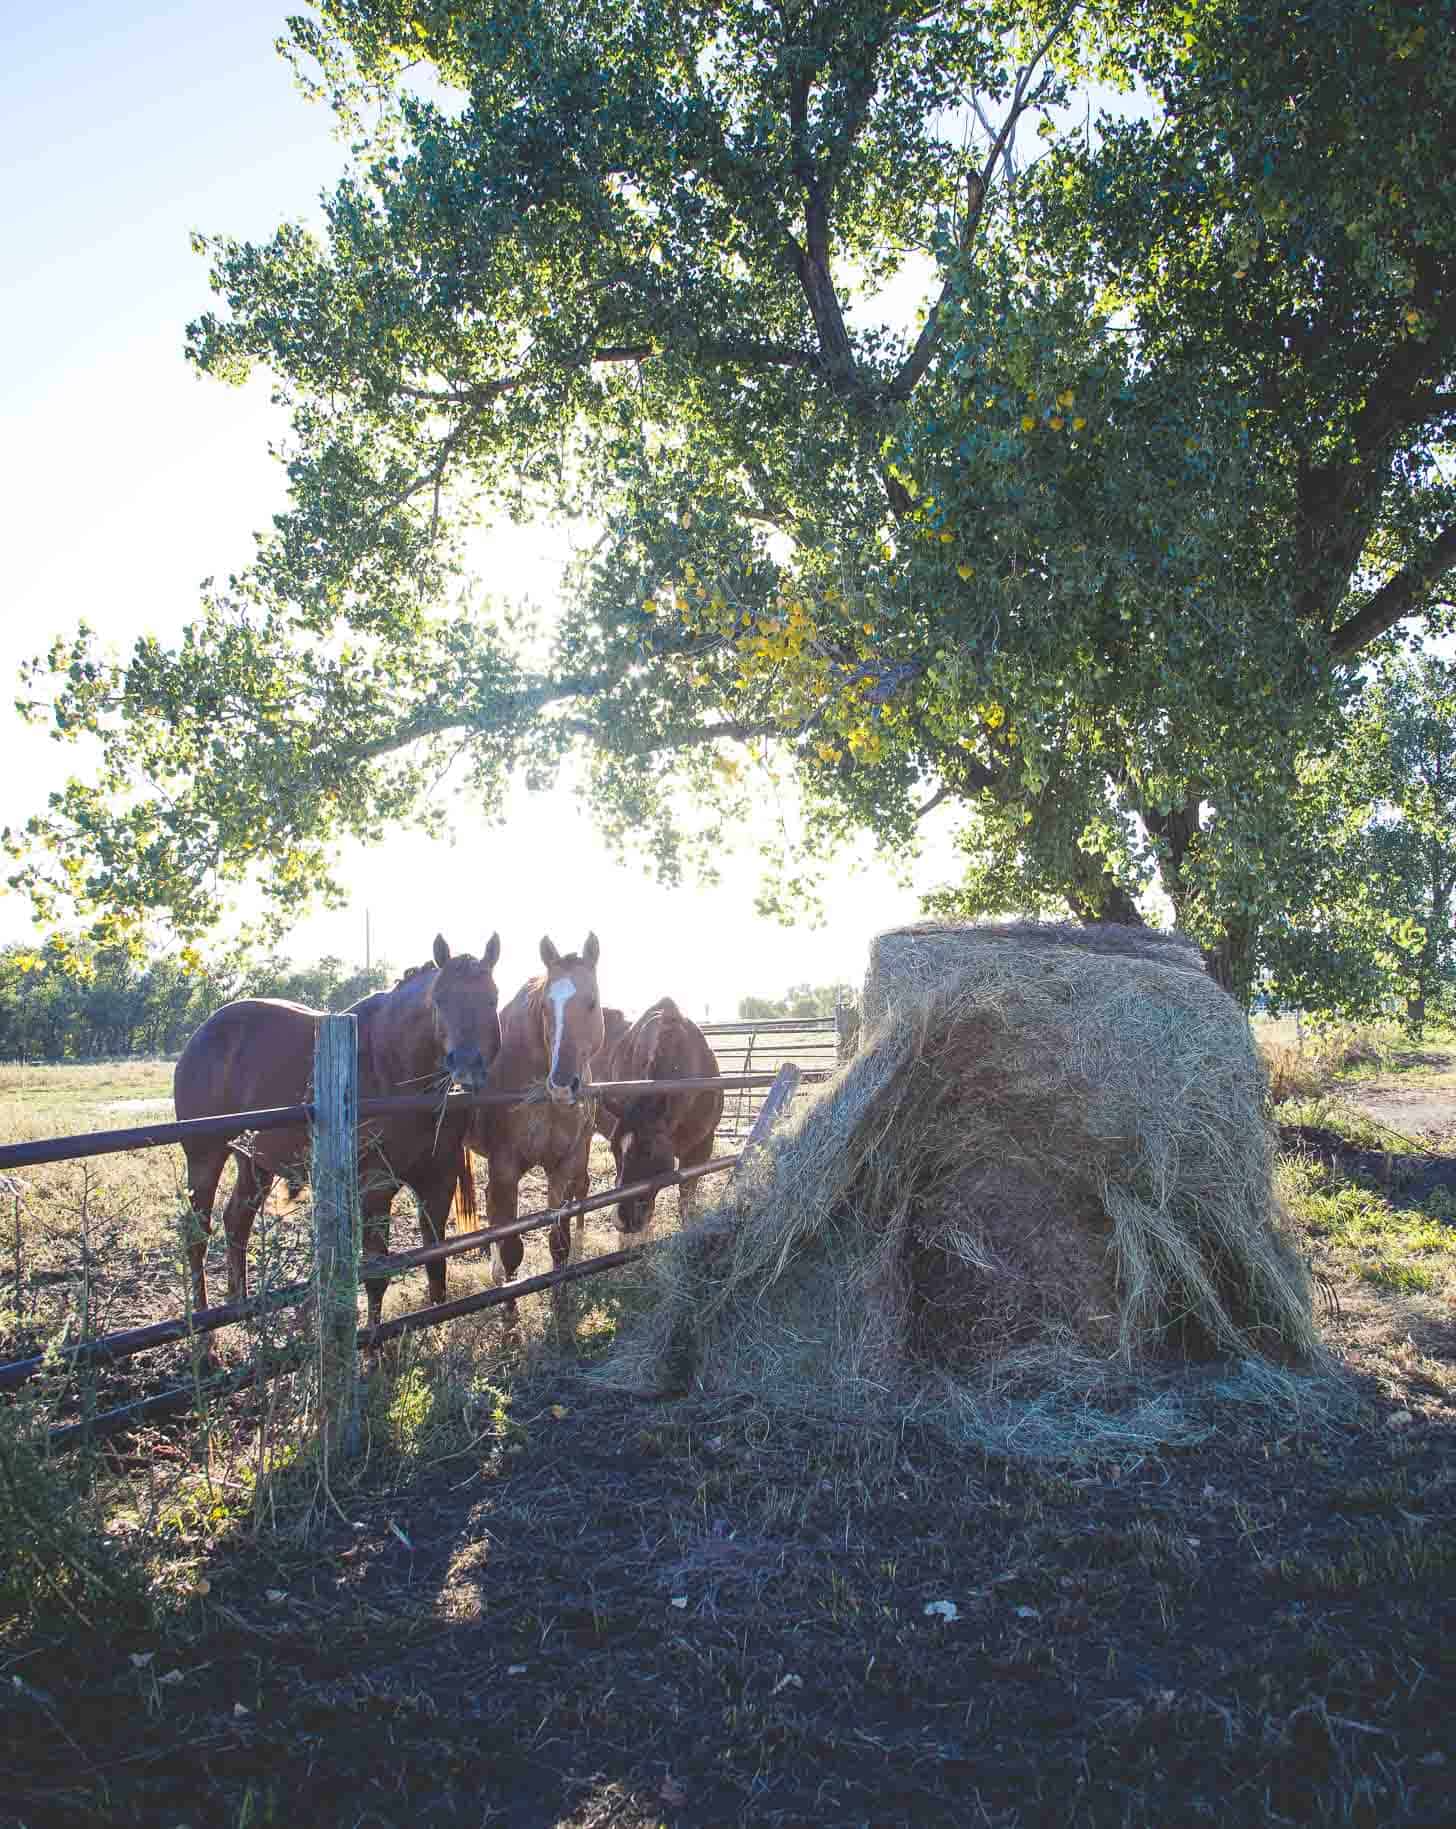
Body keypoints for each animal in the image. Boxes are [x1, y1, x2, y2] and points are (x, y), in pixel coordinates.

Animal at [173, 936, 504, 1324]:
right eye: (439, 1000)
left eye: (493, 998)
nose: (467, 1067)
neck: (391, 1067)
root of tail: (203, 1034)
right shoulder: (375, 1188)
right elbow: (376, 1274)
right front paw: (375, 1340)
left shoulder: (439, 1181)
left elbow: (436, 1264)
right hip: (204, 1157)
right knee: (197, 1234)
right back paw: (203, 1327)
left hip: (255, 1162)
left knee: (236, 1221)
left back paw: (242, 1311)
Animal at [475, 929, 607, 1302]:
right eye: (546, 1008)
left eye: (592, 1002)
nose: (562, 1086)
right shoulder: (505, 1169)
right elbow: (511, 1249)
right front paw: (508, 1304)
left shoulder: (563, 1165)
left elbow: (558, 1243)